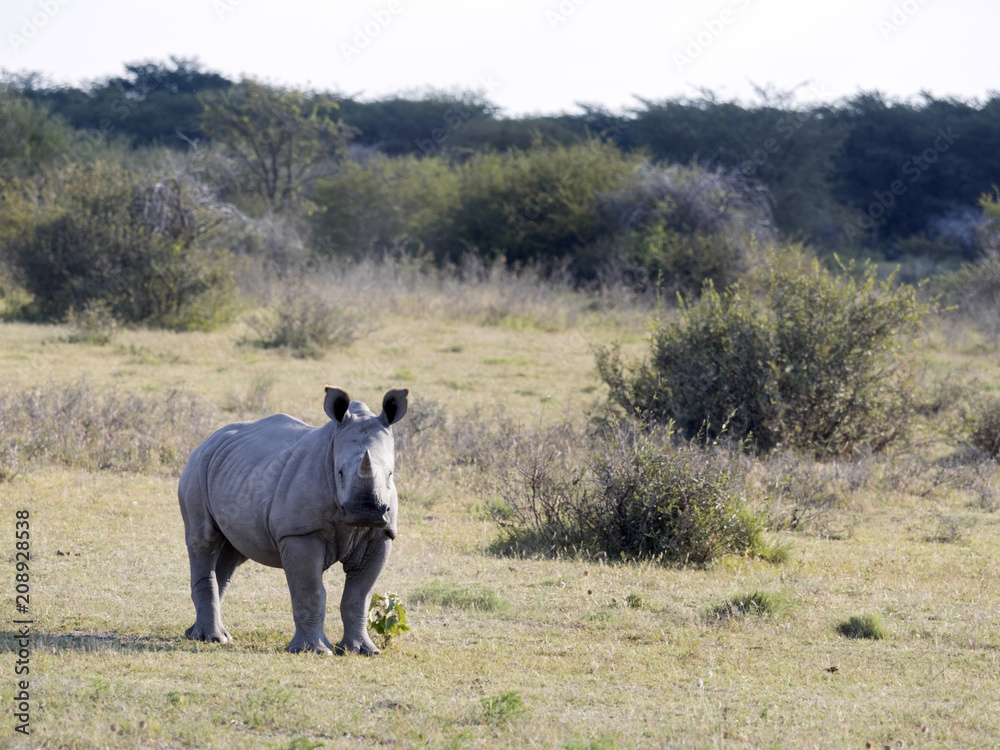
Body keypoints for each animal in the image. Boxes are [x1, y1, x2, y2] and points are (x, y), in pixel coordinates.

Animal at [178, 386, 408, 655]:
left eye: (391, 474)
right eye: (340, 473)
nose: (365, 511)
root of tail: (208, 439)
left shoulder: (381, 535)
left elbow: (359, 596)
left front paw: (361, 650)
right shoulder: (299, 532)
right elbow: (311, 591)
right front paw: (314, 651)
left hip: (234, 470)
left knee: (233, 552)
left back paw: (204, 635)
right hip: (196, 467)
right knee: (204, 540)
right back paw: (211, 638)